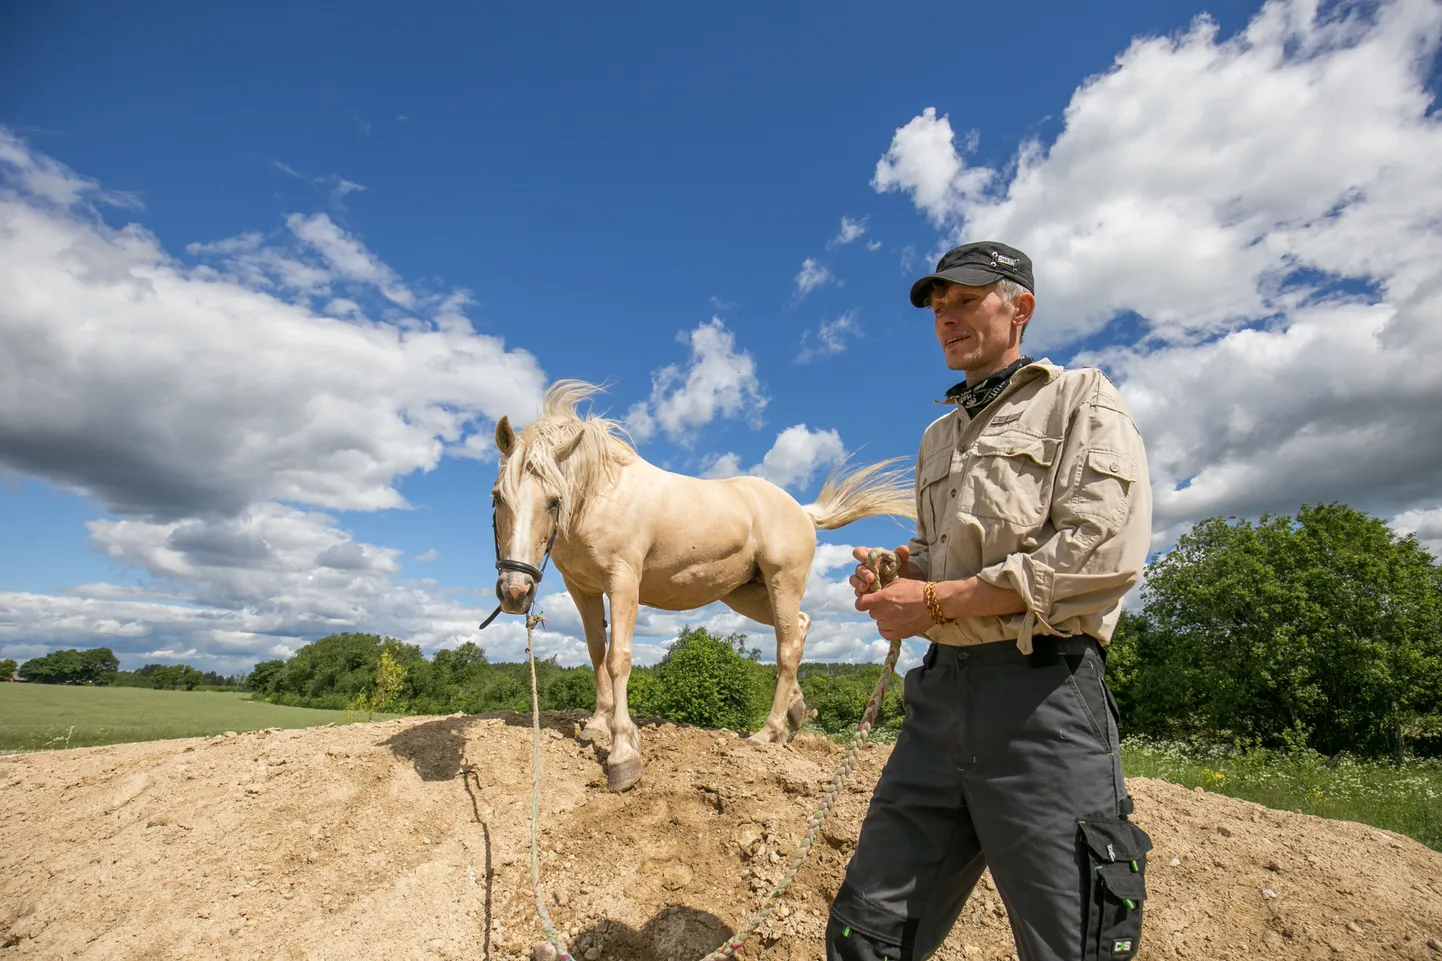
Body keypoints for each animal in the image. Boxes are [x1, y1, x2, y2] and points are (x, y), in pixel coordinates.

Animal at [487, 378, 911, 790]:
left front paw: (623, 752)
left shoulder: (623, 583)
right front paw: (596, 724)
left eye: (553, 500)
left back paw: (766, 733)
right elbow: (596, 652)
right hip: (746, 594)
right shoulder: (583, 589)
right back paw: (793, 711)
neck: (601, 495)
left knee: (787, 649)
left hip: (782, 584)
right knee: (800, 628)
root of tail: (803, 512)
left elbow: (617, 658)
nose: (515, 592)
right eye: (497, 497)